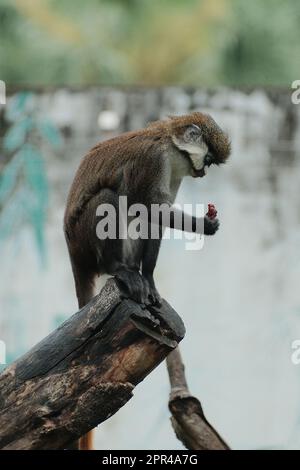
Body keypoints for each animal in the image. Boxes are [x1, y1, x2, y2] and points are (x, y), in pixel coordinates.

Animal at [63, 111, 230, 448]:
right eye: (207, 158)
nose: (204, 171)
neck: (170, 142)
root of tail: (73, 253)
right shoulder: (153, 162)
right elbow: (150, 207)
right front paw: (204, 225)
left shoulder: (174, 174)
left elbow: (154, 218)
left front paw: (151, 279)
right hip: (85, 241)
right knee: (110, 199)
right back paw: (120, 268)